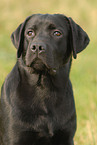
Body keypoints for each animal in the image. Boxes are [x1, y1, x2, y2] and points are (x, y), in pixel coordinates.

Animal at [0, 13, 89, 144]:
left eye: (57, 33)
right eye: (30, 32)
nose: (37, 47)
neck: (44, 88)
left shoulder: (66, 137)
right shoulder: (14, 137)